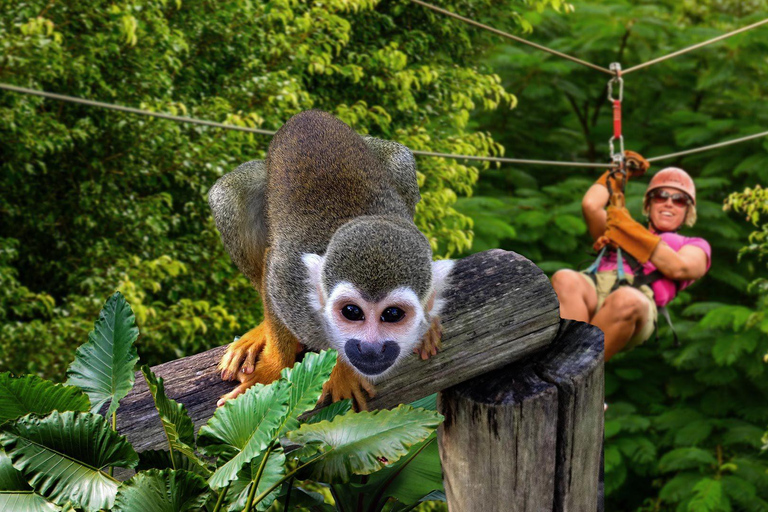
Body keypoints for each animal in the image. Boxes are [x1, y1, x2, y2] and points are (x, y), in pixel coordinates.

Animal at [207, 110, 452, 410]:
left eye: (393, 316)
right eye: (352, 312)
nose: (373, 348)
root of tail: (308, 114)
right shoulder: (290, 279)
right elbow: (272, 274)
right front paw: (272, 369)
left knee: (400, 160)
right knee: (227, 196)